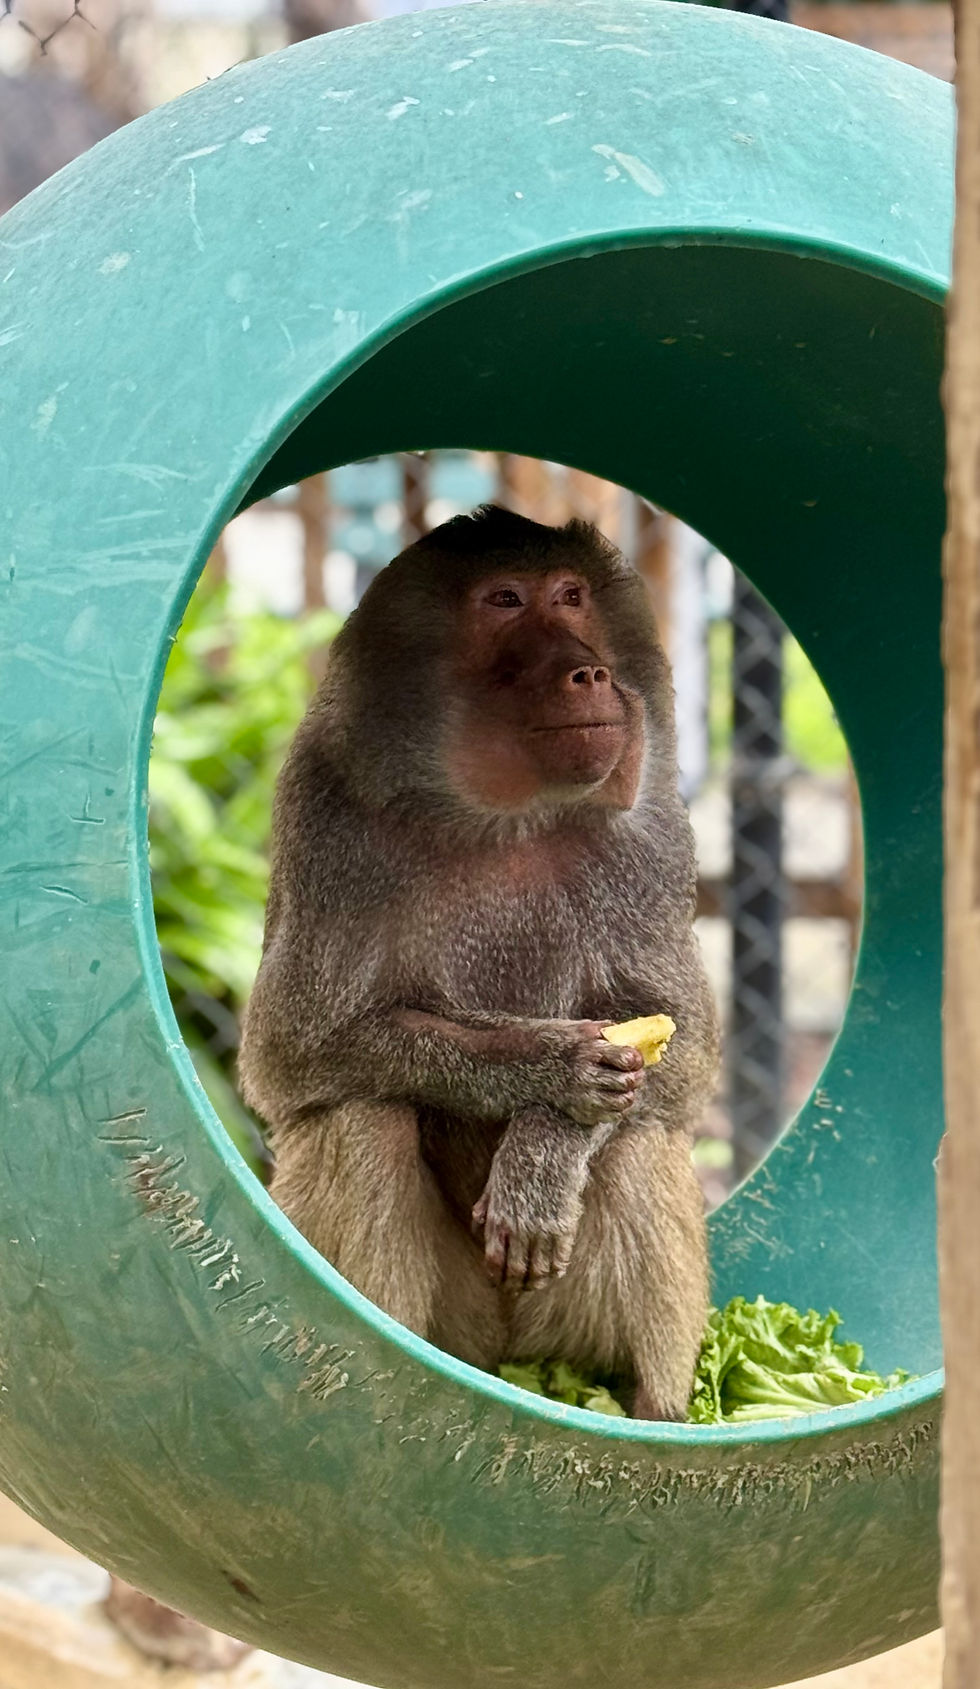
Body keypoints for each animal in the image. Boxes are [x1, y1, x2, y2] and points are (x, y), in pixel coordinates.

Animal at [238, 506, 719, 1421]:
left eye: (570, 594)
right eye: (505, 601)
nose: (589, 672)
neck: (506, 816)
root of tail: (504, 1356)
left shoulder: (651, 835)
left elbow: (683, 1052)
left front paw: (543, 1153)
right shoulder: (326, 812)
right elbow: (295, 1055)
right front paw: (552, 1064)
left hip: (563, 1322)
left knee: (642, 1138)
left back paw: (656, 1414)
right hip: (458, 1318)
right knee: (366, 1117)